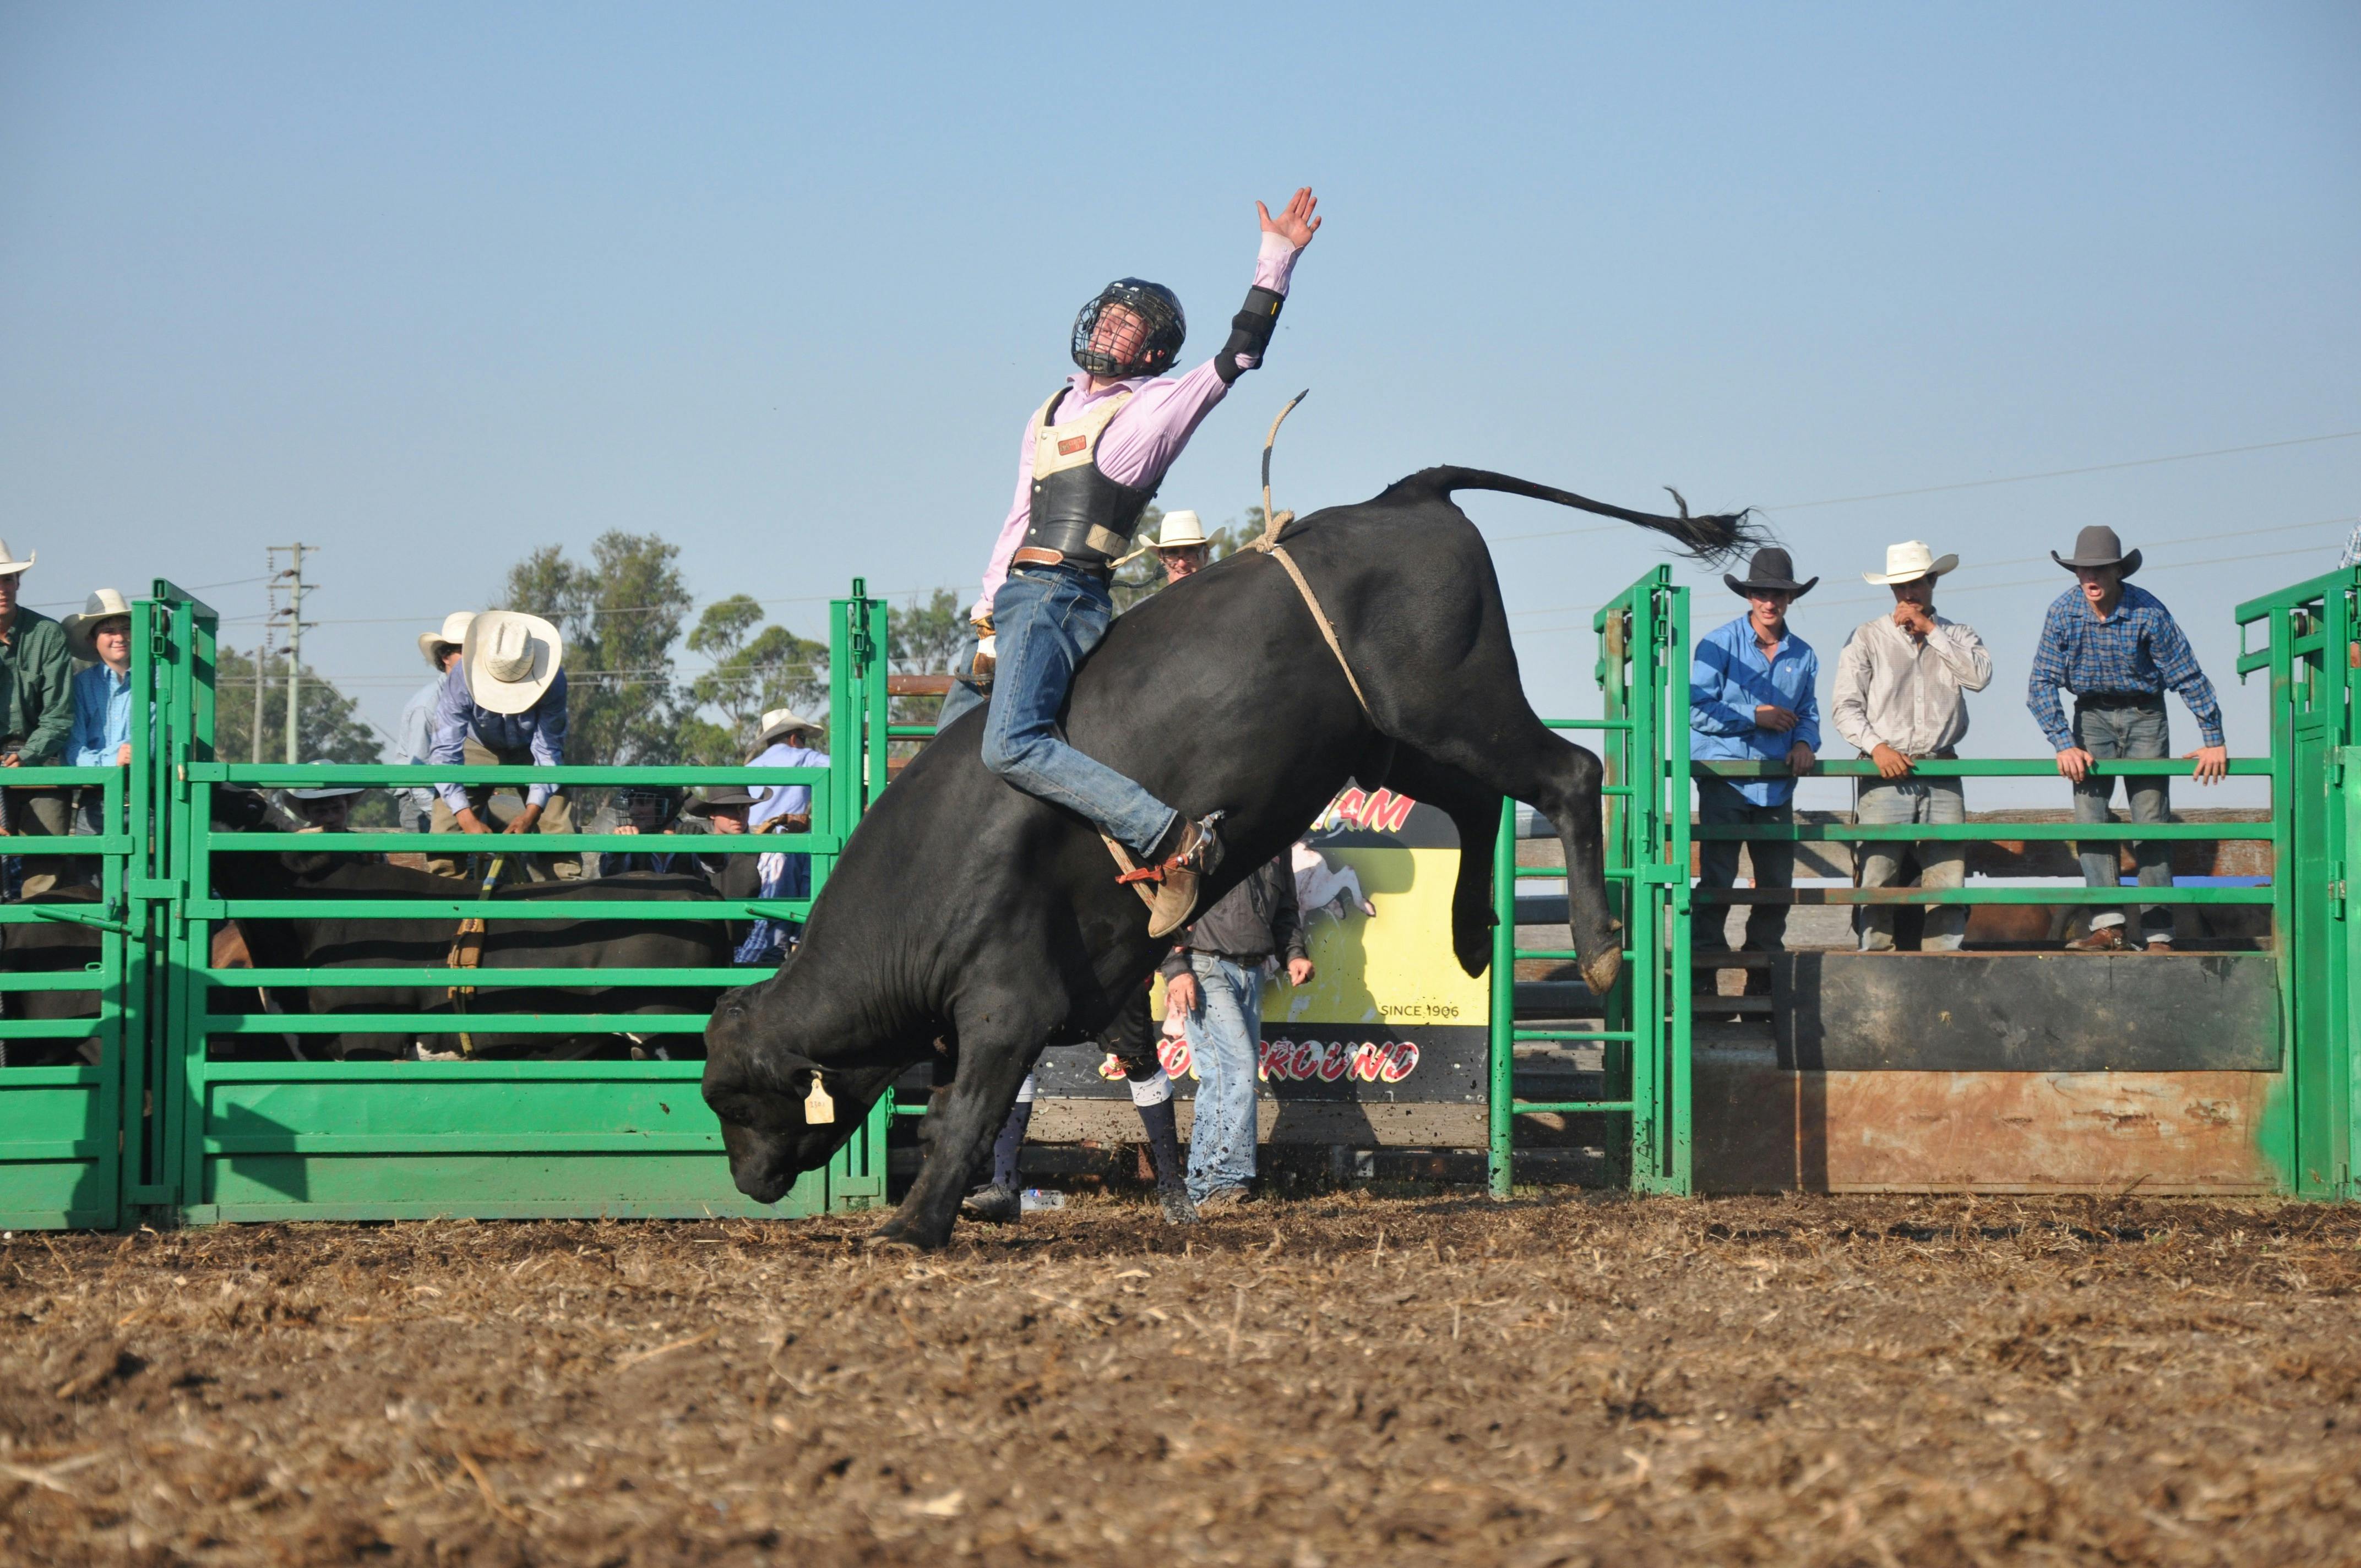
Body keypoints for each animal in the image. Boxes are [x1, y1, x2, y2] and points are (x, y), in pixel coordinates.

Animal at [703, 467, 1758, 1248]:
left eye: (735, 1096)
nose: (748, 1184)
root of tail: (1402, 498)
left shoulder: (1008, 1002)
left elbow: (964, 1111)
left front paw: (913, 1227)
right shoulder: (1090, 991)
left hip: (1455, 701)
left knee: (1571, 772)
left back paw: (1597, 948)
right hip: (1390, 738)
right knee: (1478, 798)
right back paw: (1467, 935)